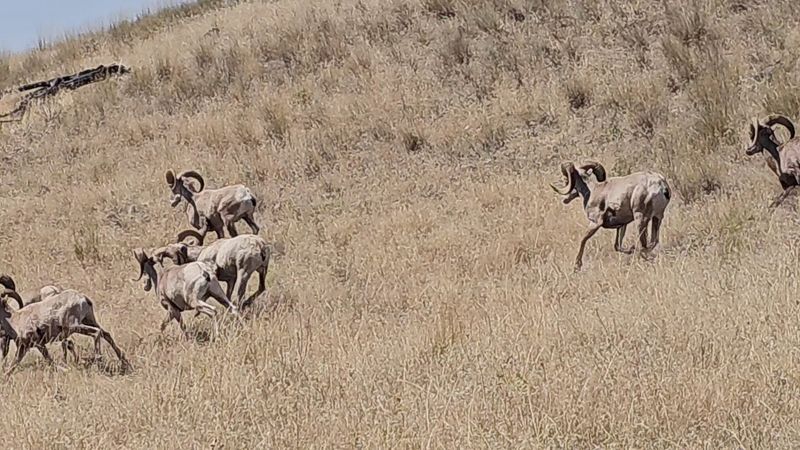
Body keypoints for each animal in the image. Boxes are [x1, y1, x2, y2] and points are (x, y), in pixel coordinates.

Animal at [0, 288, 129, 376]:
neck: (14, 320)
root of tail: (82, 298)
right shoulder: (37, 346)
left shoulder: (29, 345)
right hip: (89, 320)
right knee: (105, 334)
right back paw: (124, 361)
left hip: (75, 326)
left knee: (96, 333)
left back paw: (99, 360)